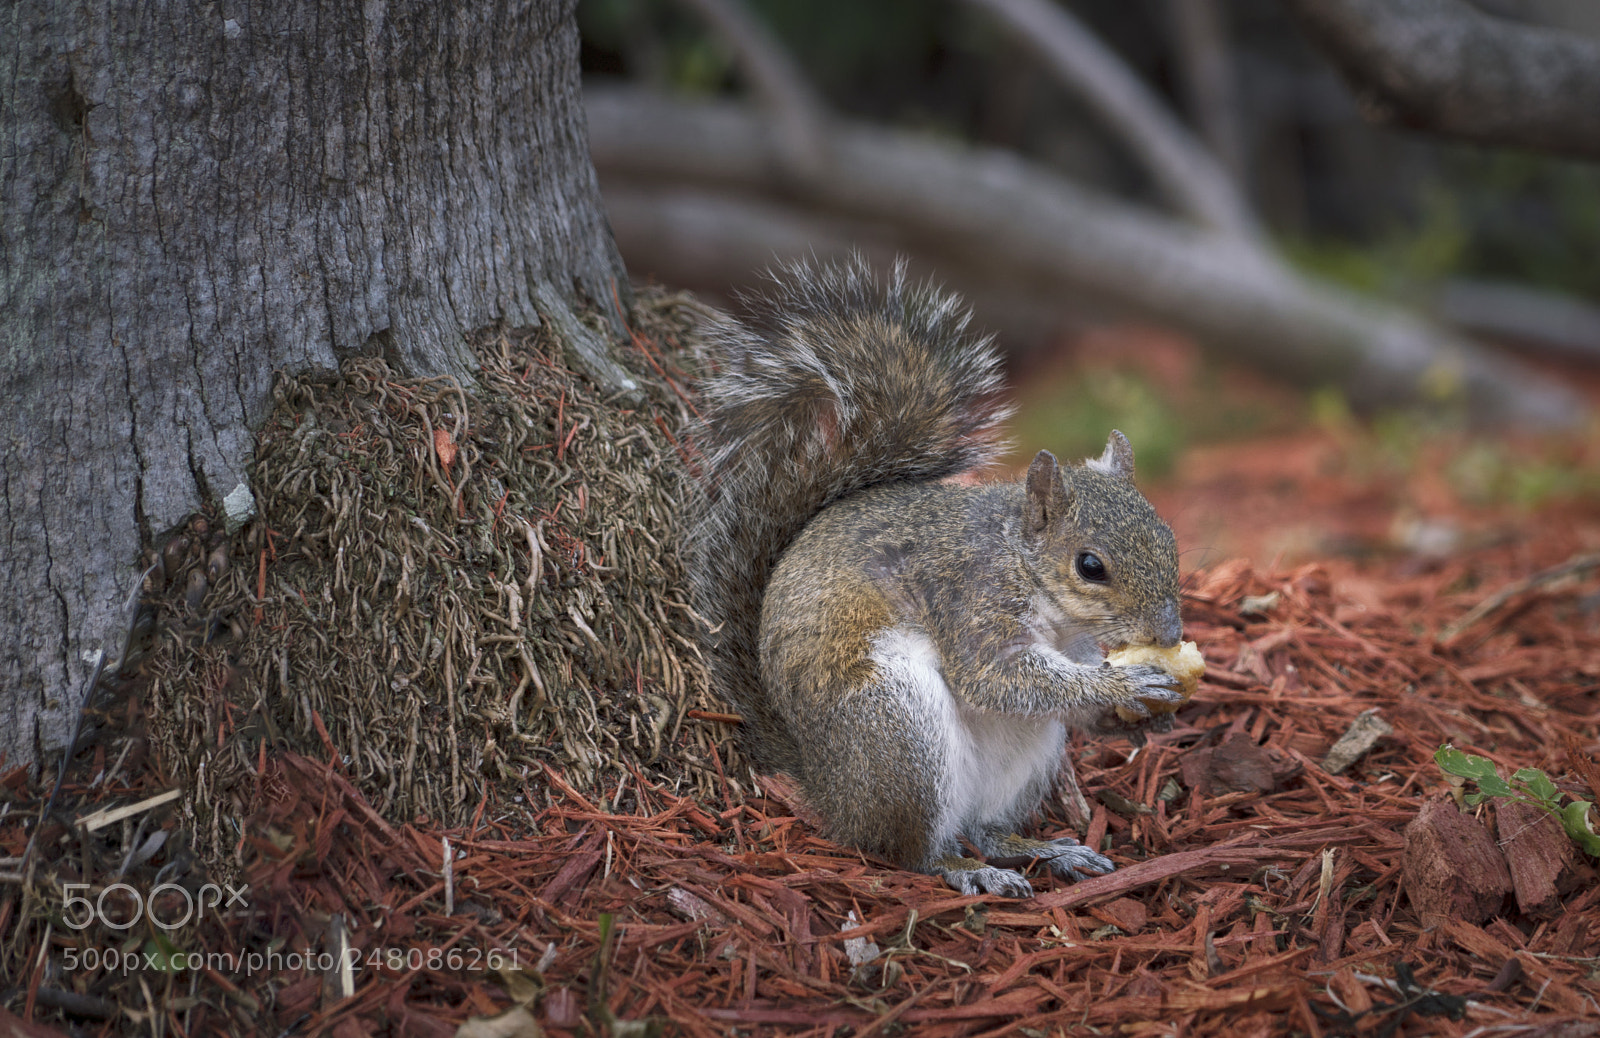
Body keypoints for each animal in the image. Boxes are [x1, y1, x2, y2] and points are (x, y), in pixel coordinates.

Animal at [690, 257, 1185, 897]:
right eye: (1090, 566)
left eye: (1168, 536)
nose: (1171, 636)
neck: (1022, 566)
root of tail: (830, 790)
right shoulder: (969, 599)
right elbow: (995, 677)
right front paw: (1125, 685)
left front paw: (1148, 708)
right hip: (898, 727)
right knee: (911, 851)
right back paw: (968, 870)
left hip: (1022, 750)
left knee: (984, 826)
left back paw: (1040, 848)